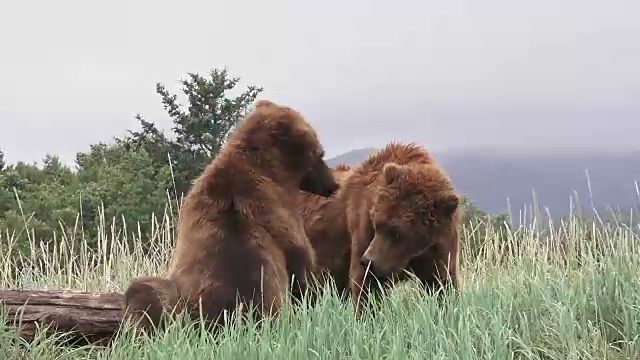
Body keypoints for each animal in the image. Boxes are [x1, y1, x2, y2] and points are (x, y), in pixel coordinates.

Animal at [340, 143, 460, 312]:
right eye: (377, 224)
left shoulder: (438, 246)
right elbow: (365, 287)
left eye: (397, 232)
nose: (368, 261)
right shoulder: (362, 228)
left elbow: (442, 283)